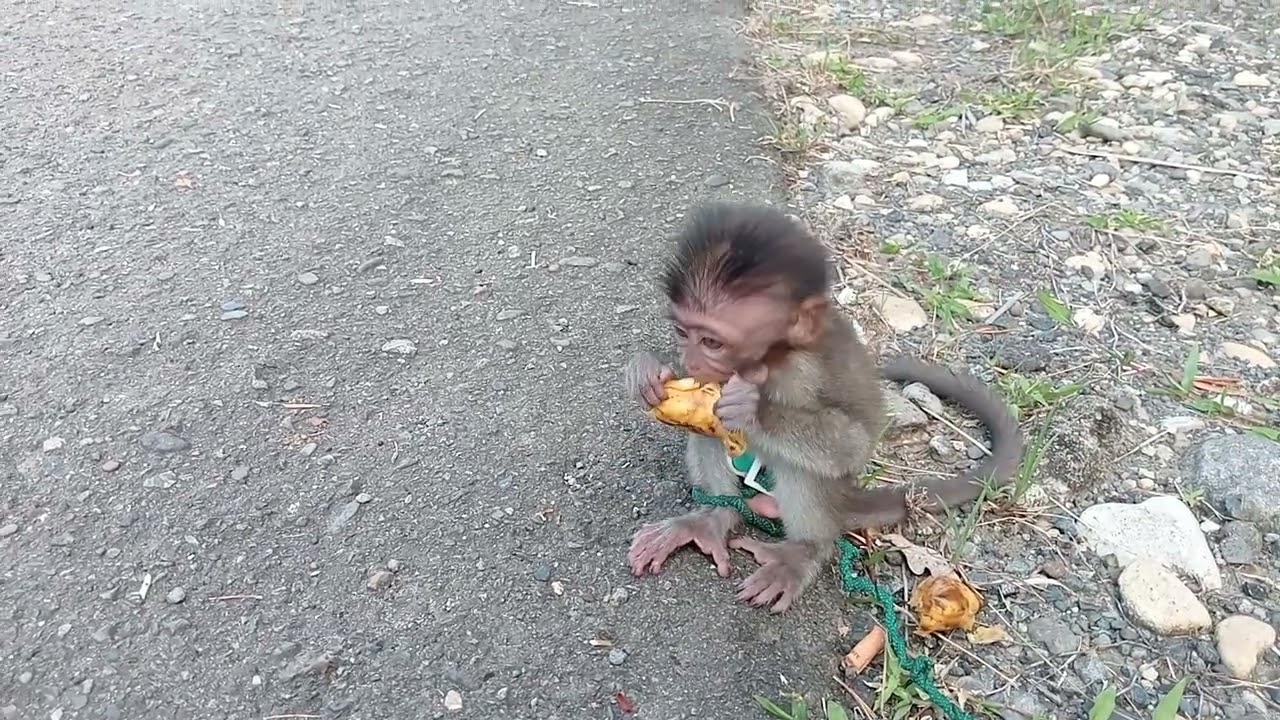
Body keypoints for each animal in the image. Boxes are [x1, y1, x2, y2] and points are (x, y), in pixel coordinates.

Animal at [622, 202, 1023, 614]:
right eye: (682, 333)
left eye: (712, 342)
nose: (693, 361)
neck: (770, 358)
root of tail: (843, 503)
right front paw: (647, 371)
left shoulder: (803, 371)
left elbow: (852, 443)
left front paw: (753, 410)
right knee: (708, 435)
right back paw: (712, 518)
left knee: (806, 467)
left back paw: (803, 552)